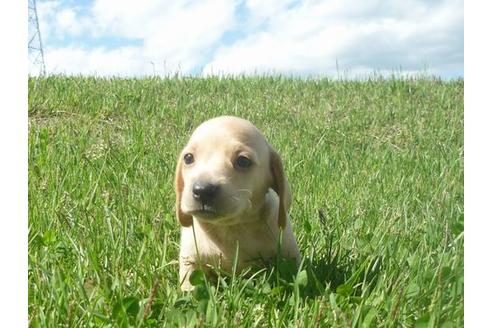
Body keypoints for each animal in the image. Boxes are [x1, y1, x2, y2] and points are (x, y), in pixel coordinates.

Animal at [177, 116, 300, 290]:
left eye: (243, 161)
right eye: (188, 158)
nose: (202, 190)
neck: (232, 227)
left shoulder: (289, 254)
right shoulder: (190, 260)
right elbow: (189, 285)